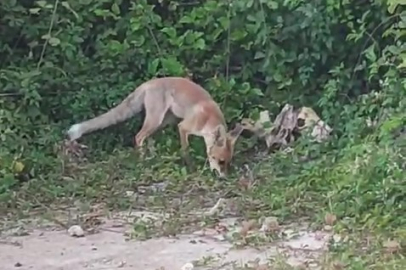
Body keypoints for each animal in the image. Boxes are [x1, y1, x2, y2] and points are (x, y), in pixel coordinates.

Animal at [66, 76, 244, 178]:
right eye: (221, 161)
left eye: (227, 163)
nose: (224, 178)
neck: (208, 119)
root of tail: (148, 83)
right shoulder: (183, 127)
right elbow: (185, 150)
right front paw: (191, 167)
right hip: (156, 120)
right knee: (139, 137)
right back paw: (142, 161)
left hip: (163, 121)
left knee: (148, 138)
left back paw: (153, 158)